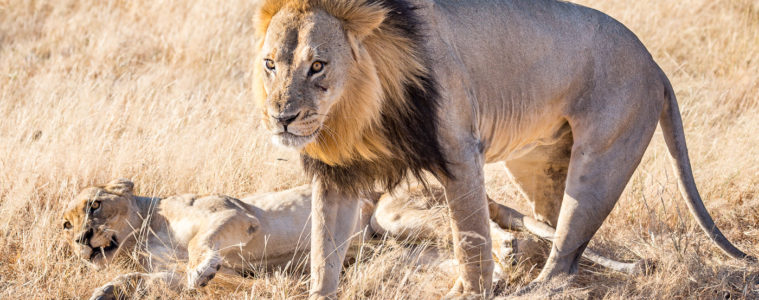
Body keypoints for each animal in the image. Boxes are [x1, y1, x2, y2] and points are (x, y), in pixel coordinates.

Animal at [254, 0, 756, 296]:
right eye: (270, 65)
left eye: (318, 65)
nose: (282, 118)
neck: (358, 112)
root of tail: (656, 65)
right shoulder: (337, 176)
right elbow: (323, 252)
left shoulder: (459, 152)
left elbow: (470, 239)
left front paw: (470, 290)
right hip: (538, 163)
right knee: (556, 234)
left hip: (601, 161)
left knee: (564, 255)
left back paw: (534, 286)